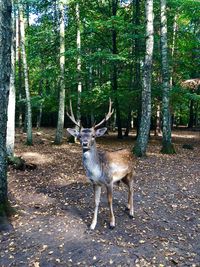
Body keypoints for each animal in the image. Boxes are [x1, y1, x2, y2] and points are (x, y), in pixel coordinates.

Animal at [66, 99, 135, 231]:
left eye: (93, 135)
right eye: (80, 136)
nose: (85, 143)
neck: (97, 172)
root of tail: (131, 151)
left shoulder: (109, 181)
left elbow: (109, 201)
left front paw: (112, 223)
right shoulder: (95, 183)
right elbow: (95, 201)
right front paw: (92, 224)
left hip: (130, 173)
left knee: (132, 189)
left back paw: (132, 213)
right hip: (123, 177)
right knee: (129, 189)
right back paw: (127, 207)